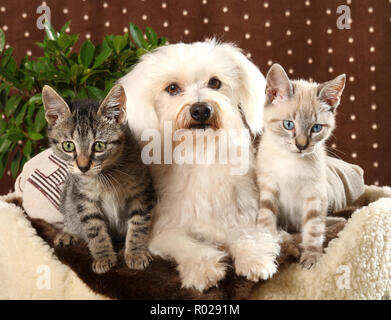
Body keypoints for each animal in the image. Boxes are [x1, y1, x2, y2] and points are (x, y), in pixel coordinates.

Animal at [43, 84, 157, 272]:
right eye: (68, 146)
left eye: (99, 146)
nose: (83, 167)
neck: (105, 177)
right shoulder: (83, 198)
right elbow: (94, 229)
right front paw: (103, 256)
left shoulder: (142, 192)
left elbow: (139, 223)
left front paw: (135, 252)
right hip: (69, 194)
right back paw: (69, 233)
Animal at [118, 40, 280, 292]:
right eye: (172, 88)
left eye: (215, 83)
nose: (201, 109)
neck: (199, 150)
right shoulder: (164, 228)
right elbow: (187, 245)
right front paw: (203, 268)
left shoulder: (242, 215)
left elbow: (246, 235)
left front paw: (254, 258)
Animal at [258, 63, 346, 268]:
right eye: (288, 125)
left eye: (316, 128)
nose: (301, 145)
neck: (290, 160)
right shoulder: (268, 186)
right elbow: (266, 218)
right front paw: (267, 246)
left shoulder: (315, 194)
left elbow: (313, 229)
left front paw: (311, 256)